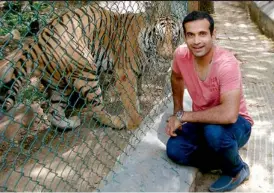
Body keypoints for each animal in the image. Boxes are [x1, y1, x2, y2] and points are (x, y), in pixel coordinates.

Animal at [0, 2, 182, 130]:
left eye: (174, 37)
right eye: (158, 37)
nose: (167, 57)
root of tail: (38, 41)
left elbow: (136, 90)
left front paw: (140, 98)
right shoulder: (124, 73)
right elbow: (130, 100)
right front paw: (135, 121)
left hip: (57, 84)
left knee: (54, 112)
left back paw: (71, 123)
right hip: (86, 70)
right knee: (96, 110)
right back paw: (117, 121)